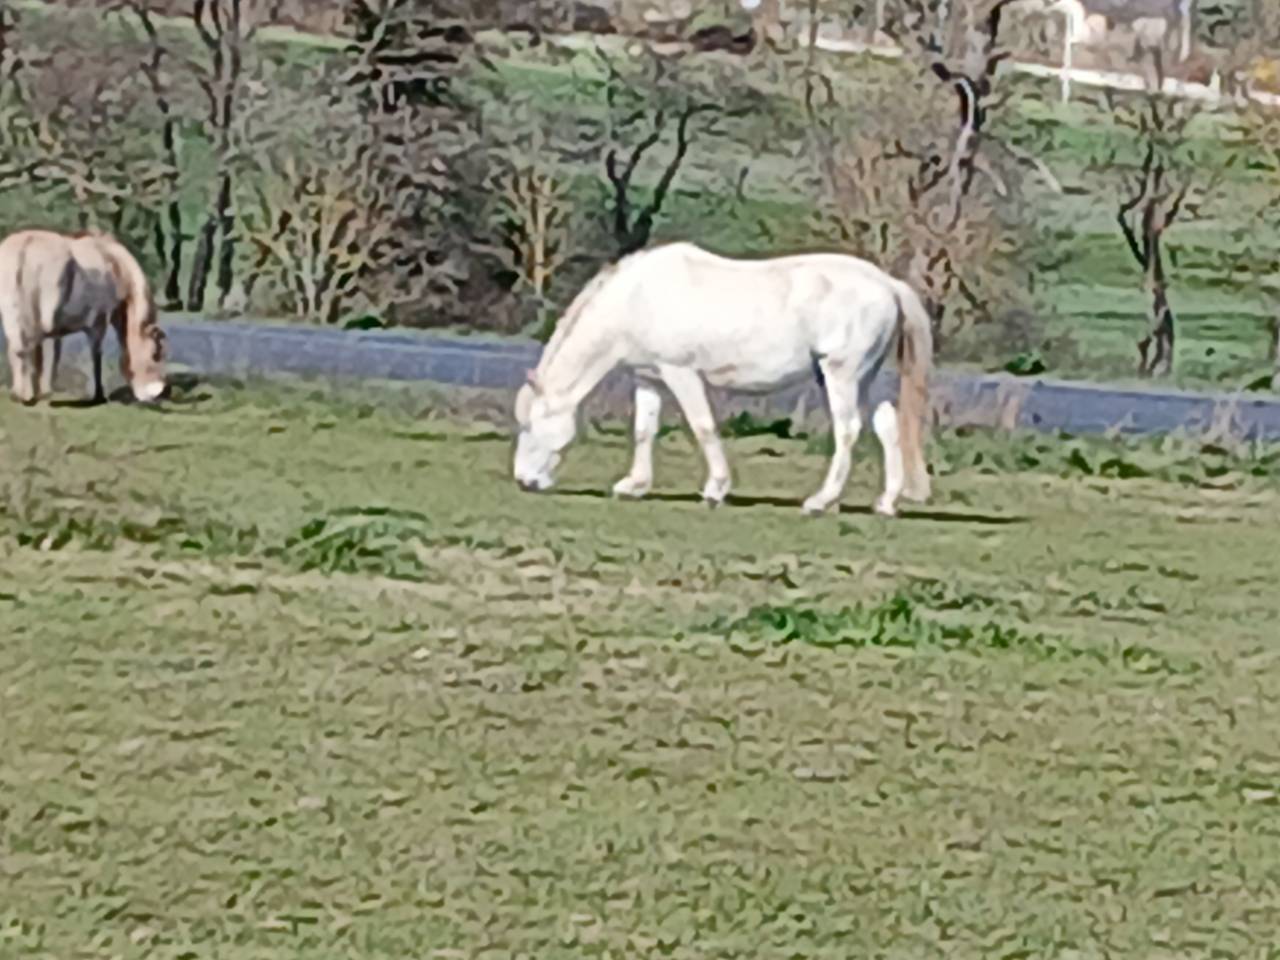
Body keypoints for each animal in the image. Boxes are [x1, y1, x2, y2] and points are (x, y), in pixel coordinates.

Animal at [0, 228, 167, 406]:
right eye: (155, 354)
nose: (158, 393)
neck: (113, 264)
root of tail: (23, 247)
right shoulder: (98, 322)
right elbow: (95, 355)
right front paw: (99, 395)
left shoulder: (55, 329)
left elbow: (49, 355)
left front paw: (44, 391)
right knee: (24, 350)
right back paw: (25, 395)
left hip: (13, 316)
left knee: (17, 349)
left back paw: (19, 393)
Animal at [512, 242, 932, 518]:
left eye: (530, 426)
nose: (523, 480)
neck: (637, 299)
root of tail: (888, 285)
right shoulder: (650, 378)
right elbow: (644, 431)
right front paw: (634, 486)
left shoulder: (681, 373)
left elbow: (703, 427)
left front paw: (716, 489)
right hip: (866, 378)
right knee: (887, 426)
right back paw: (886, 503)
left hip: (840, 374)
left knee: (848, 431)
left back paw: (819, 501)